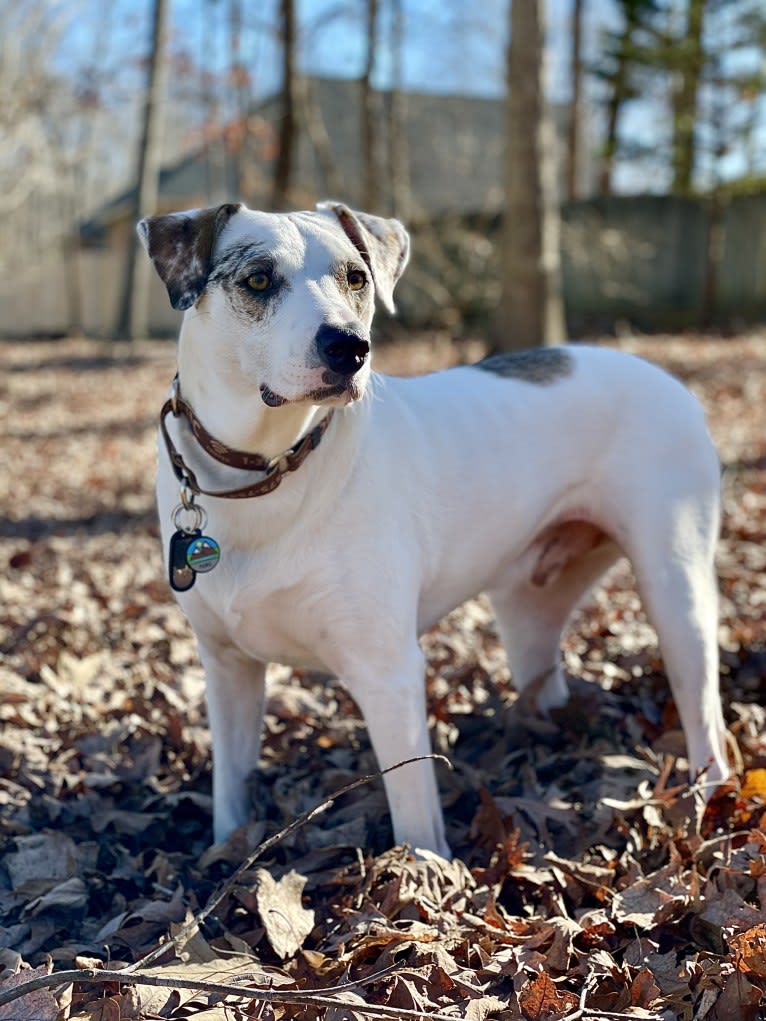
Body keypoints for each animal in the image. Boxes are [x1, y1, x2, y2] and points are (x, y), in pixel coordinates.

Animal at [139, 201, 731, 853]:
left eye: (357, 278)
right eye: (259, 280)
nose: (350, 348)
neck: (265, 470)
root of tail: (670, 379)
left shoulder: (387, 673)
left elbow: (415, 813)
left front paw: (420, 872)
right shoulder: (227, 669)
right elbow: (231, 789)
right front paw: (227, 852)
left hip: (676, 594)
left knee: (705, 713)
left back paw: (707, 800)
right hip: (527, 609)